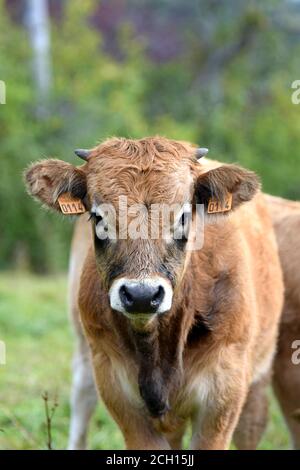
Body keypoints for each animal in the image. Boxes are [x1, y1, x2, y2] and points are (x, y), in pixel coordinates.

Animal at [24, 136, 284, 448]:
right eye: (98, 218)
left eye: (183, 217)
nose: (141, 295)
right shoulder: (115, 386)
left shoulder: (223, 396)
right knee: (83, 393)